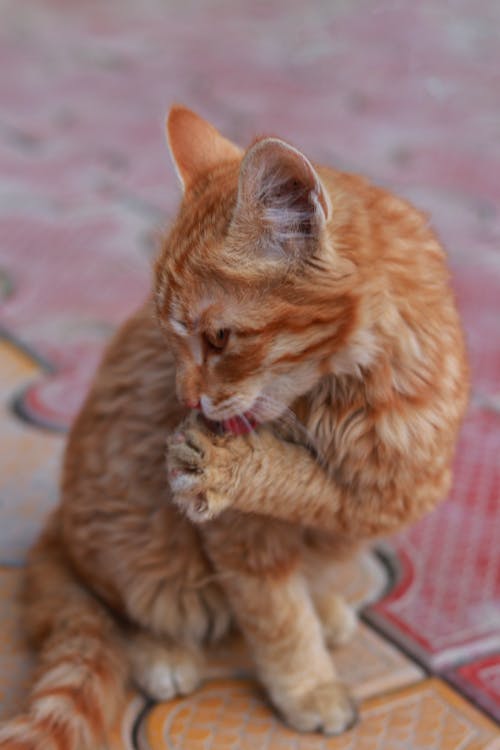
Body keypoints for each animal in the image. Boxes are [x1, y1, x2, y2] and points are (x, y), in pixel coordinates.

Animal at [0, 107, 468, 750]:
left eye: (218, 338)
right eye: (167, 338)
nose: (184, 397)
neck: (343, 397)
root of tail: (57, 527)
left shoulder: (402, 487)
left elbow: (320, 497)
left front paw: (244, 467)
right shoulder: (243, 539)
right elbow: (280, 618)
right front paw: (310, 688)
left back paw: (326, 607)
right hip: (135, 546)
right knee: (121, 606)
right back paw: (164, 655)